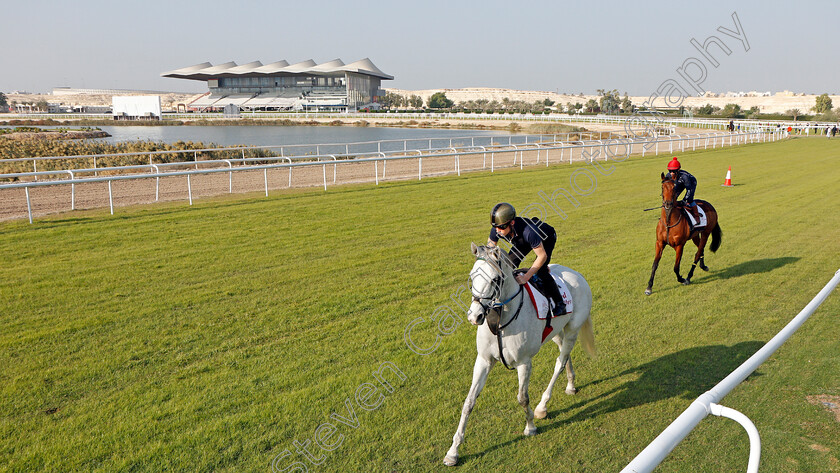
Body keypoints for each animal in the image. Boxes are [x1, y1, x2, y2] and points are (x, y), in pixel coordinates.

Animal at [442, 243, 592, 464]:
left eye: (494, 279)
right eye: (472, 276)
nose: (474, 316)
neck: (501, 318)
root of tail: (576, 274)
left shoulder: (524, 362)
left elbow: (523, 398)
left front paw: (530, 427)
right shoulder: (484, 361)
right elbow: (469, 402)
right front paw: (453, 451)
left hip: (573, 330)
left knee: (560, 361)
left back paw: (542, 407)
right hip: (557, 332)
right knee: (565, 356)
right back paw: (571, 385)